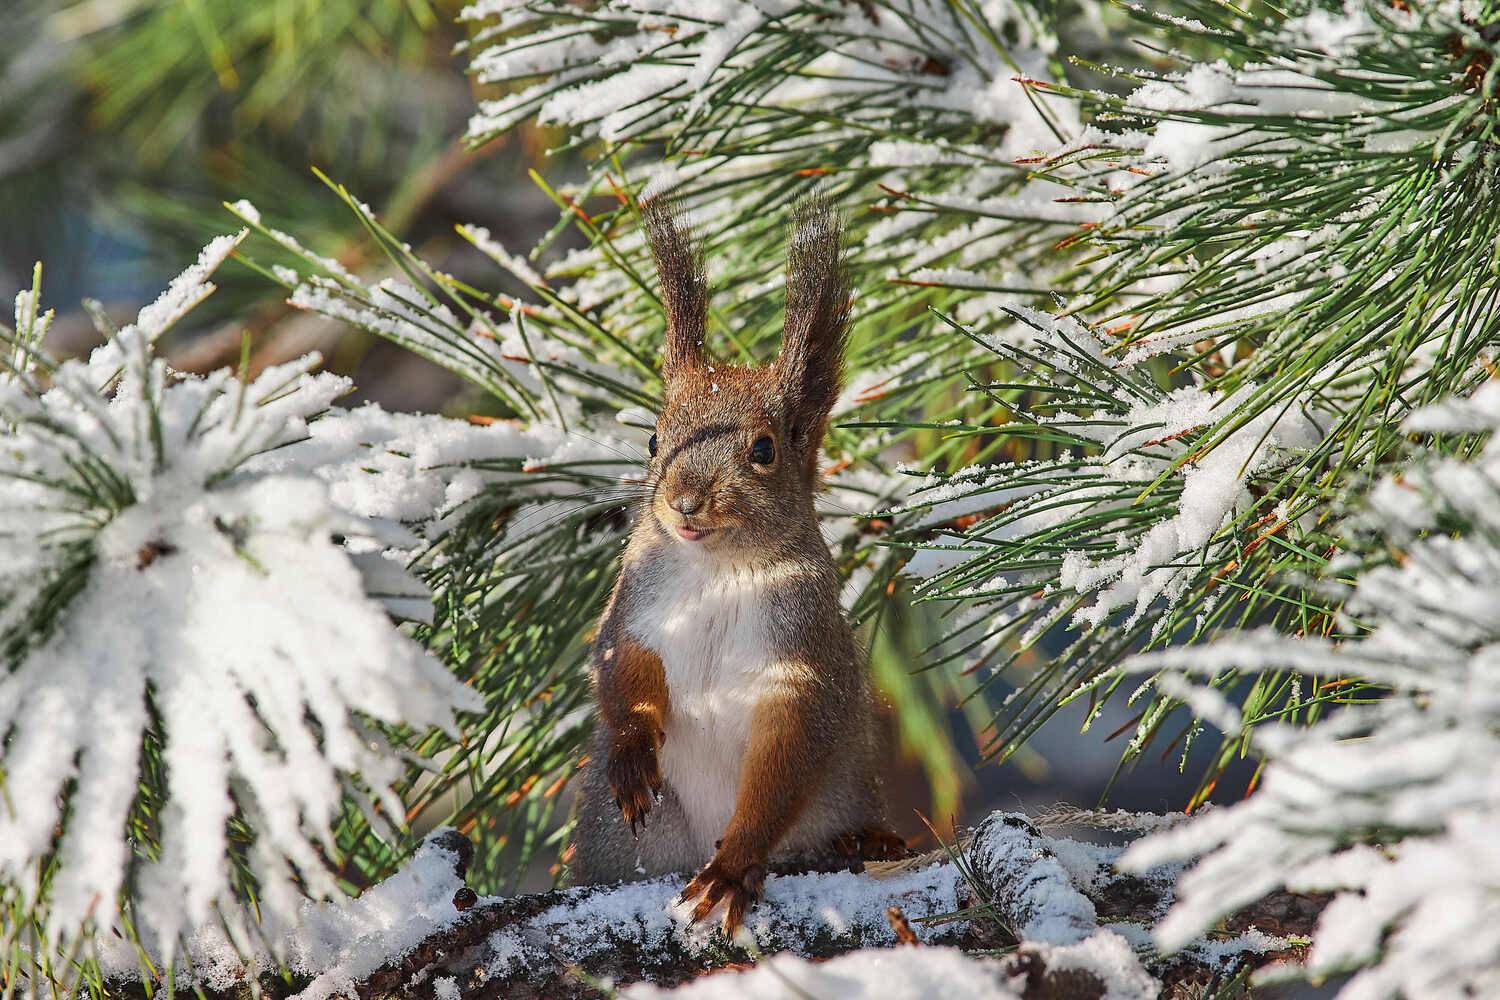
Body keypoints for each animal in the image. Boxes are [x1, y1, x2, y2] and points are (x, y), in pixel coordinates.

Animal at [570, 198, 908, 933]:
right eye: (654, 441)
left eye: (763, 449)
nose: (684, 502)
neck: (714, 571)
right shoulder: (635, 607)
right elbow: (620, 668)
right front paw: (632, 750)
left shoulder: (799, 661)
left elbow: (782, 768)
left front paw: (731, 867)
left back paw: (866, 840)